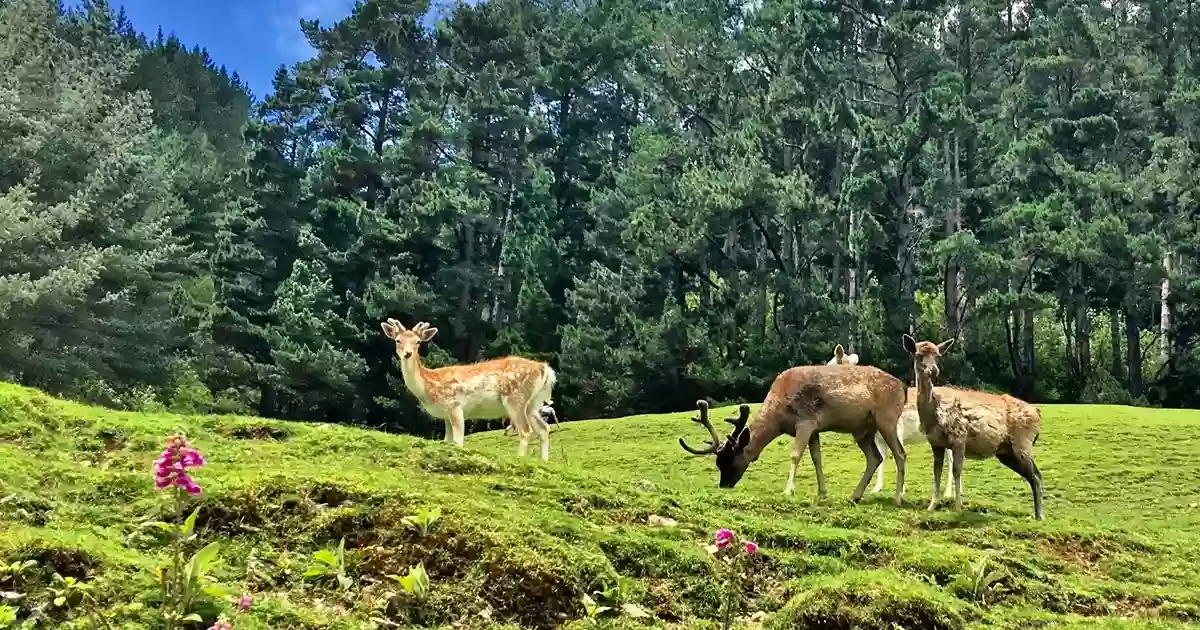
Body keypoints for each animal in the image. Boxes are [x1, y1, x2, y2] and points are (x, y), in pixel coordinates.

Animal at [379, 316, 556, 458]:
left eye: (417, 342)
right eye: (398, 340)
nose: (408, 354)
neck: (429, 387)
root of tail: (544, 368)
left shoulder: (455, 406)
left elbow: (458, 442)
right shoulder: (446, 415)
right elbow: (448, 441)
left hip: (515, 398)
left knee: (526, 431)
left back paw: (520, 458)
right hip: (532, 403)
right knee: (544, 428)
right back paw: (544, 460)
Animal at [676, 360, 907, 504]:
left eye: (729, 460)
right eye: (718, 463)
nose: (724, 485)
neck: (780, 415)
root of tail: (903, 388)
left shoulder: (805, 421)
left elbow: (796, 455)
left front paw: (788, 490)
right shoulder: (814, 429)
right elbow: (816, 458)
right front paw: (822, 494)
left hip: (886, 418)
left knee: (900, 453)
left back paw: (897, 498)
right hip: (863, 430)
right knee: (875, 457)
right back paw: (854, 496)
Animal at [820, 343, 950, 496]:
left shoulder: (898, 430)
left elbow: (897, 456)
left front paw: (902, 491)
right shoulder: (878, 438)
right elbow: (881, 459)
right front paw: (876, 488)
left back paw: (949, 493)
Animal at [902, 333, 1046, 520]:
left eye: (938, 356)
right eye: (918, 355)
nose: (933, 371)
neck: (933, 414)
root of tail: (1037, 414)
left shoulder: (959, 437)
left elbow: (956, 471)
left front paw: (957, 507)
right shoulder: (935, 443)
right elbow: (936, 472)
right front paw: (931, 506)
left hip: (1023, 443)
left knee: (1037, 475)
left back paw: (1040, 516)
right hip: (1007, 452)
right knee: (1032, 476)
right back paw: (1036, 514)